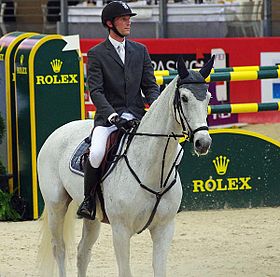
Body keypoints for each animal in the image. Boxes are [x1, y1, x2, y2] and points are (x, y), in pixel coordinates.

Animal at [36, 56, 212, 276]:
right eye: (185, 98)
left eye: (208, 98)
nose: (203, 143)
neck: (153, 170)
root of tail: (58, 131)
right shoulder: (121, 230)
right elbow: (125, 270)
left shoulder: (164, 229)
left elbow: (159, 269)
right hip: (56, 205)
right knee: (59, 248)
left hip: (92, 218)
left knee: (82, 252)